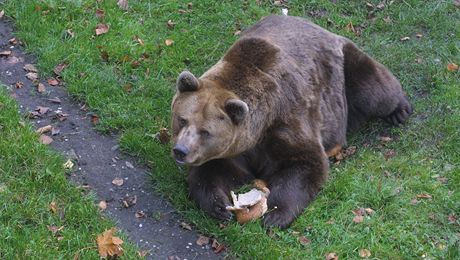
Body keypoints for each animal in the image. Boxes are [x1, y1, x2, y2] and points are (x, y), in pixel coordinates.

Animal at [170, 15, 414, 229]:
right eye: (182, 120)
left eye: (205, 131)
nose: (180, 151)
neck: (260, 126)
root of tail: (318, 26)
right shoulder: (234, 149)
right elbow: (212, 172)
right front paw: (220, 206)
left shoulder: (288, 118)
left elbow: (304, 163)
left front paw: (274, 215)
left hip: (346, 69)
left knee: (373, 89)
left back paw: (400, 110)